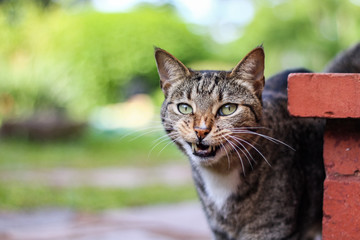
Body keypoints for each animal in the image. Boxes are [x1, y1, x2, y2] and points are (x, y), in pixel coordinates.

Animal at [154, 43, 360, 240]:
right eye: (185, 108)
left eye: (228, 109)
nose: (201, 130)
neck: (220, 175)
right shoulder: (220, 233)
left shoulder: (273, 229)